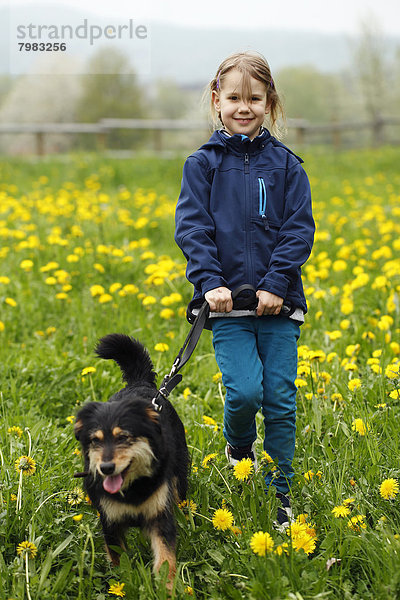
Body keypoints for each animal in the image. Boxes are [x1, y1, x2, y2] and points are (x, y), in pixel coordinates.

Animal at [74, 336, 189, 588]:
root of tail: (140, 382)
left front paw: (168, 588)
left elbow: (165, 558)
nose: (106, 468)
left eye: (123, 437)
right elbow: (120, 560)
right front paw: (124, 584)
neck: (132, 488)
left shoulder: (159, 515)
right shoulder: (110, 522)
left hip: (179, 473)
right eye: (95, 441)